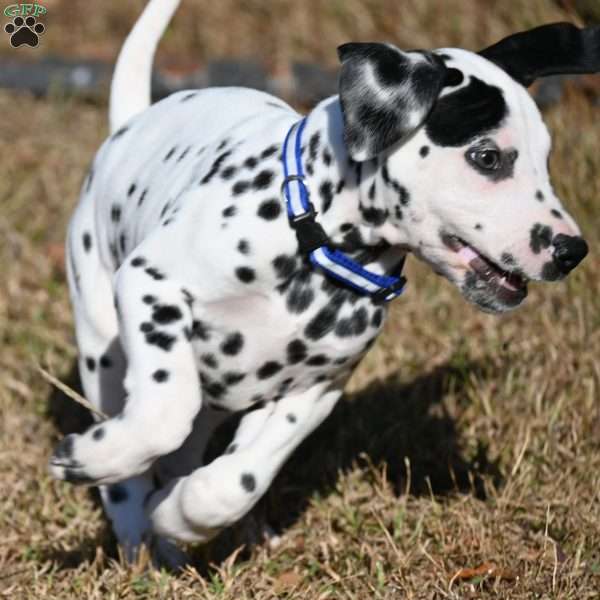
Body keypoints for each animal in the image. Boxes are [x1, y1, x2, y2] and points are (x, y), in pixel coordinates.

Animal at [50, 0, 596, 564]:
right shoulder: (153, 284)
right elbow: (163, 413)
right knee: (133, 454)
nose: (571, 250)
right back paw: (132, 524)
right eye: (486, 157)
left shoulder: (315, 387)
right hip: (102, 346)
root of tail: (132, 124)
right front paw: (99, 461)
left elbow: (237, 480)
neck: (315, 247)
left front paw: (180, 515)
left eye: (545, 161)